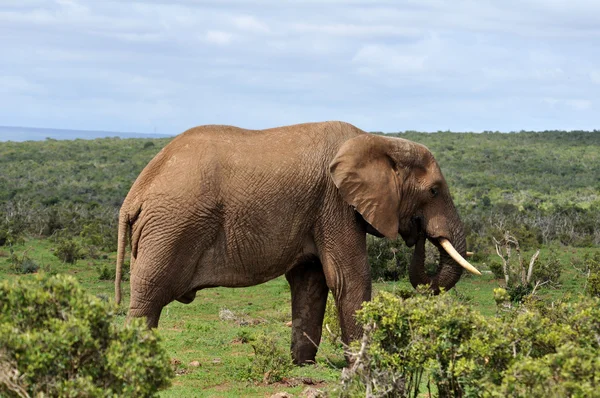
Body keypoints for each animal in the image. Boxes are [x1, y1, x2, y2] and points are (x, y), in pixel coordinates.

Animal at [115, 120, 480, 364]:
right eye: (434, 191)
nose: (419, 233)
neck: (378, 141)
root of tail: (137, 191)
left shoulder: (318, 209)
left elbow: (311, 281)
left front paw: (303, 365)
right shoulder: (335, 203)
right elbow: (349, 278)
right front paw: (364, 367)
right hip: (170, 227)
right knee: (148, 298)